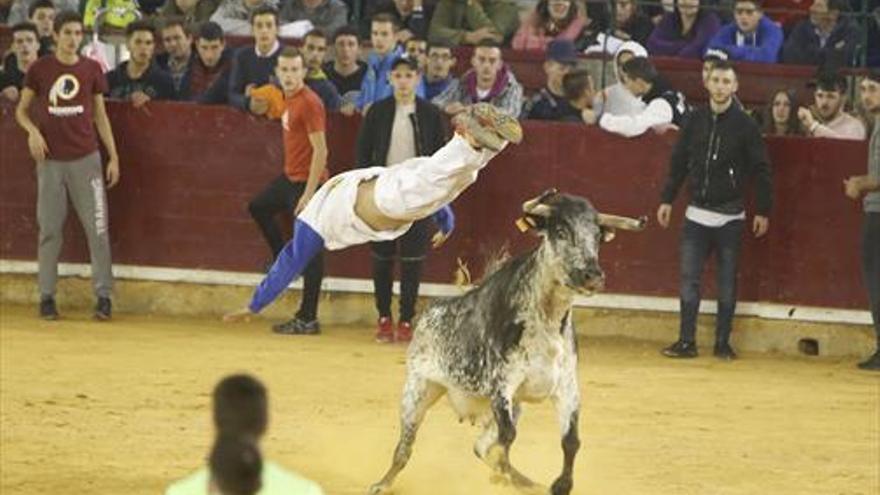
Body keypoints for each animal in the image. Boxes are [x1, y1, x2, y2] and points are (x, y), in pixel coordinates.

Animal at [368, 191, 644, 495]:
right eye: (560, 231)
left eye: (596, 236)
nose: (593, 276)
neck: (547, 320)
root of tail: (430, 313)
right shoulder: (502, 385)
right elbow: (508, 437)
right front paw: (507, 470)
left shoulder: (567, 388)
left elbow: (570, 440)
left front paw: (559, 485)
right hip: (417, 390)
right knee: (404, 447)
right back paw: (381, 484)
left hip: (512, 405)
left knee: (479, 447)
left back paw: (526, 482)